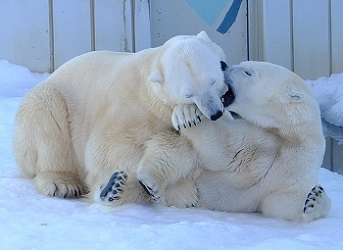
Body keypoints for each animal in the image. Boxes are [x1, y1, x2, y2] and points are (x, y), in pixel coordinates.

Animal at [12, 30, 231, 201]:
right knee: (47, 119)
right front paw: (181, 191)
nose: (215, 113)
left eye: (213, 81)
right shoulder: (132, 111)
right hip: (47, 104)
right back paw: (62, 183)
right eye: (188, 94)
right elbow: (105, 151)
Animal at [101, 61, 332, 222]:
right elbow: (221, 150)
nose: (223, 64)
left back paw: (116, 188)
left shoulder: (297, 163)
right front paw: (187, 113)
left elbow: (283, 202)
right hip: (188, 177)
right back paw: (133, 184)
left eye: (248, 71)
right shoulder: (261, 138)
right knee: (175, 152)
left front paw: (315, 198)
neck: (289, 136)